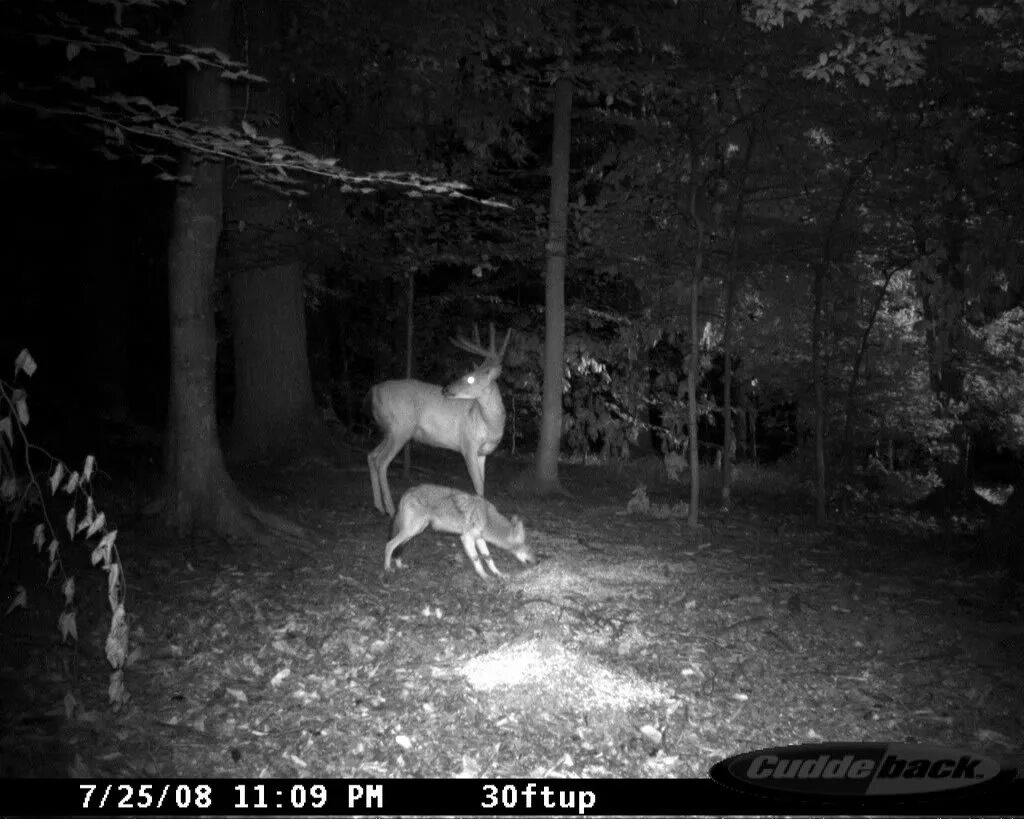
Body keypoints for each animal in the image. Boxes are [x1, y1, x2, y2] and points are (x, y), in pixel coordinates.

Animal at [368, 323, 512, 515]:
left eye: (470, 378)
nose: (446, 389)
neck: (489, 424)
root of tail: (375, 391)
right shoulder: (467, 445)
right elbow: (478, 486)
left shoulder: (482, 453)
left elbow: (482, 487)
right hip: (400, 428)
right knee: (382, 461)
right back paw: (391, 509)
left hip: (389, 431)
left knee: (372, 455)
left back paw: (378, 506)